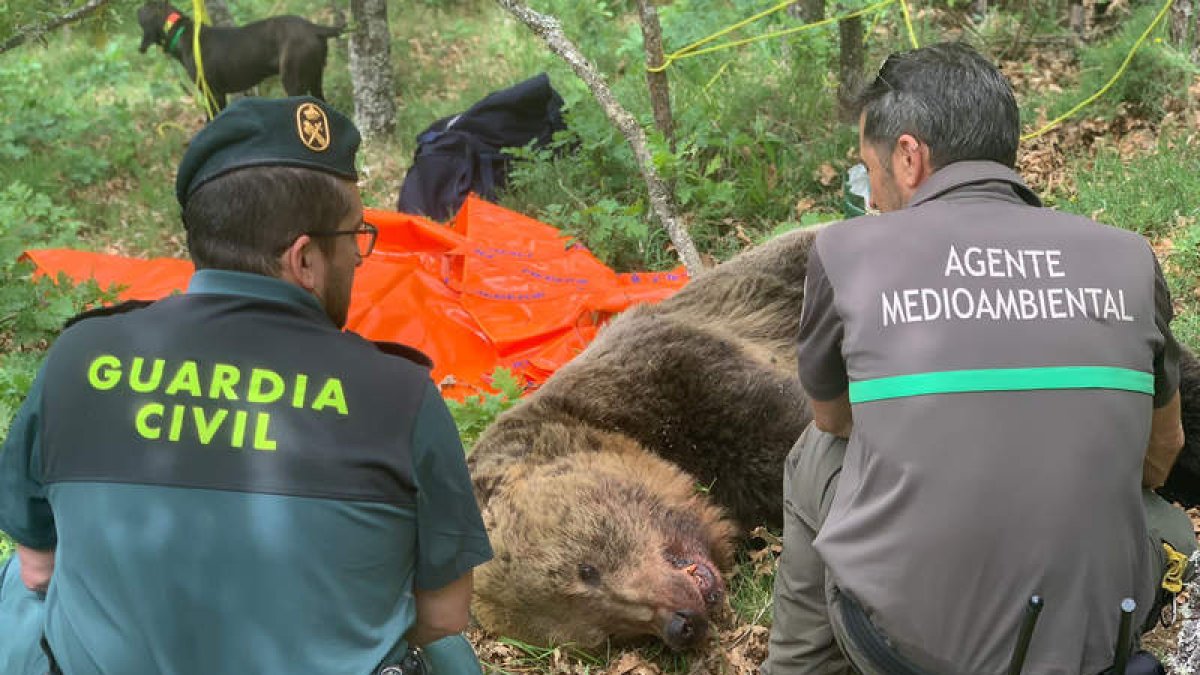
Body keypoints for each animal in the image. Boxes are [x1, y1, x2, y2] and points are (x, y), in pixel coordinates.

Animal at [137, 1, 343, 114]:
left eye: (144, 8)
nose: (137, 8)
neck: (180, 31)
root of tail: (314, 27)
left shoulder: (213, 94)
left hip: (294, 82)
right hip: (315, 79)